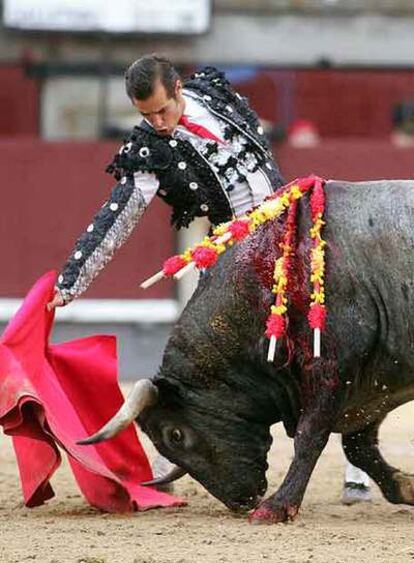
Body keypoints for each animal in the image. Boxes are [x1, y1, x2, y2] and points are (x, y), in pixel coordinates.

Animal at [79, 180, 414, 524]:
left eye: (175, 435)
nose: (242, 500)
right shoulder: (372, 387)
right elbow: (359, 447)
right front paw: (407, 487)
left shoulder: (331, 371)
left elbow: (310, 436)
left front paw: (276, 507)